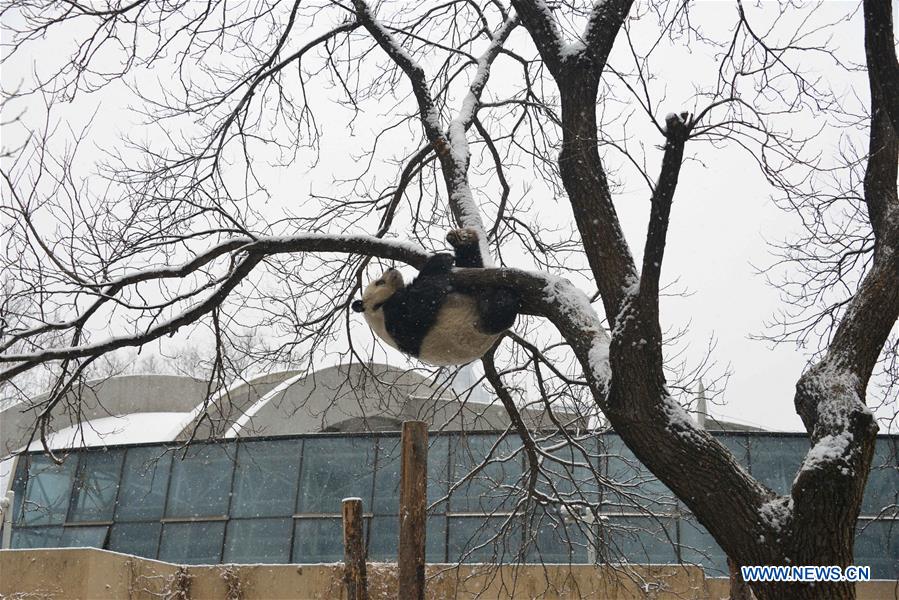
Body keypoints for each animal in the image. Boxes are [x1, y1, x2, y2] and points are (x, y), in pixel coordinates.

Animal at [352, 229, 520, 366]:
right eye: (379, 282)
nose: (391, 269)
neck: (376, 310)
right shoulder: (397, 319)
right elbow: (422, 299)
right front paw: (441, 259)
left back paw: (463, 240)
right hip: (480, 325)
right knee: (495, 316)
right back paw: (505, 298)